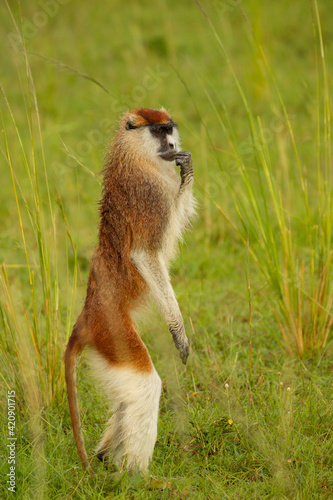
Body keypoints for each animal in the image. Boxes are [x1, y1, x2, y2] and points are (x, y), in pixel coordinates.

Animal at [64, 107, 195, 474]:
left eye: (169, 129)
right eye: (158, 131)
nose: (171, 144)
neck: (135, 155)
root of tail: (87, 315)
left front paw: (186, 167)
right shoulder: (150, 193)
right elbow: (143, 254)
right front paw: (178, 330)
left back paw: (105, 456)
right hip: (112, 331)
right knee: (144, 385)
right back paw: (135, 475)